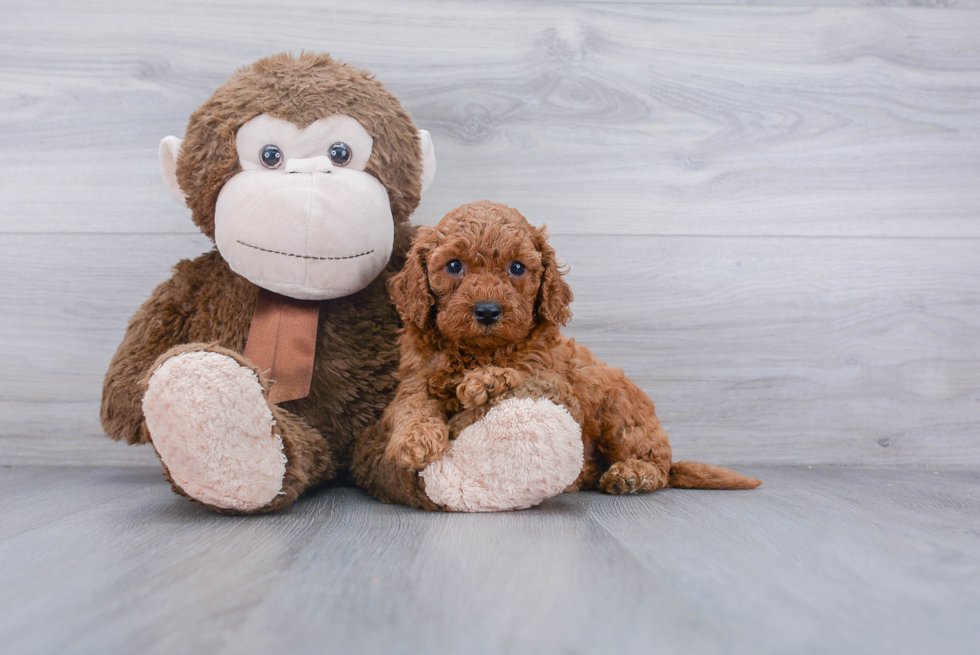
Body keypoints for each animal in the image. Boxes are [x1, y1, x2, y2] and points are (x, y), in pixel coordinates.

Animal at [354, 200, 764, 512]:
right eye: (454, 265)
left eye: (517, 268)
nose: (487, 311)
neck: (477, 351)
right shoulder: (415, 380)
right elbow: (410, 407)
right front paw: (416, 440)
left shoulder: (554, 378)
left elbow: (522, 374)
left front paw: (487, 381)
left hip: (620, 413)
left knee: (658, 464)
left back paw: (631, 474)